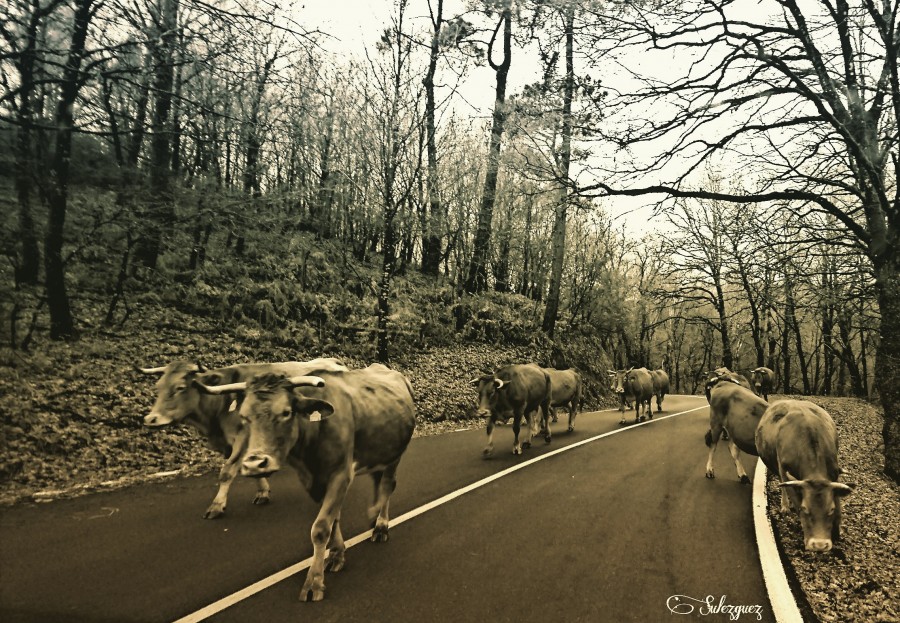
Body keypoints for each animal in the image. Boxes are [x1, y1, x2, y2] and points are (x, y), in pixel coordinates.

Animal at [139, 358, 346, 520]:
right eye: (158, 387)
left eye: (180, 387)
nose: (151, 419)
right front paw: (262, 492)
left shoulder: (243, 437)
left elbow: (227, 471)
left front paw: (217, 506)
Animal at [199, 364, 416, 604]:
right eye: (244, 417)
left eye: (286, 412)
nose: (255, 464)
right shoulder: (313, 480)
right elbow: (333, 519)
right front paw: (337, 554)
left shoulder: (341, 474)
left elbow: (320, 528)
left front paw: (314, 582)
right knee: (377, 482)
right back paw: (373, 515)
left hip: (395, 455)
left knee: (387, 485)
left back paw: (381, 526)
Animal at [756, 400, 856, 552]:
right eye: (804, 509)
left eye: (831, 509)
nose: (819, 545)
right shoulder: (784, 470)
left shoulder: (834, 475)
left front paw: (837, 532)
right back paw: (784, 506)